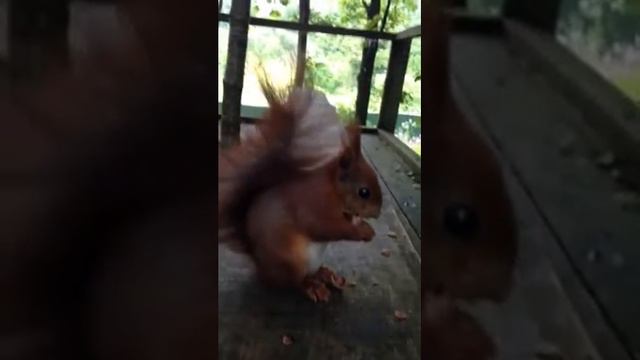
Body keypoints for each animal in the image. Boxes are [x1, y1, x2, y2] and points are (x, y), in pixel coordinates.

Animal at [218, 80, 382, 302]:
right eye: (364, 192)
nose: (378, 212)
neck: (333, 189)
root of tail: (261, 267)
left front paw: (361, 223)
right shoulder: (314, 203)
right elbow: (325, 227)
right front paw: (364, 231)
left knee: (312, 273)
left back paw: (327, 275)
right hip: (291, 261)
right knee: (294, 282)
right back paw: (311, 286)